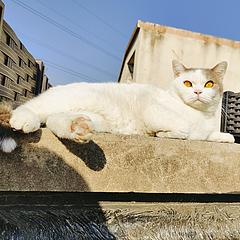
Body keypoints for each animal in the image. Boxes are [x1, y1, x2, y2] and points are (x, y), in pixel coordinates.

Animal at [7, 59, 234, 149]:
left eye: (209, 83)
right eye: (187, 83)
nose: (198, 91)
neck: (200, 115)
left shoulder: (204, 130)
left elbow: (206, 135)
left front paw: (225, 136)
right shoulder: (153, 111)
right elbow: (184, 129)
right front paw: (166, 134)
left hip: (92, 120)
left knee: (56, 121)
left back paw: (78, 128)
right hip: (58, 101)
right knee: (32, 109)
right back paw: (23, 120)